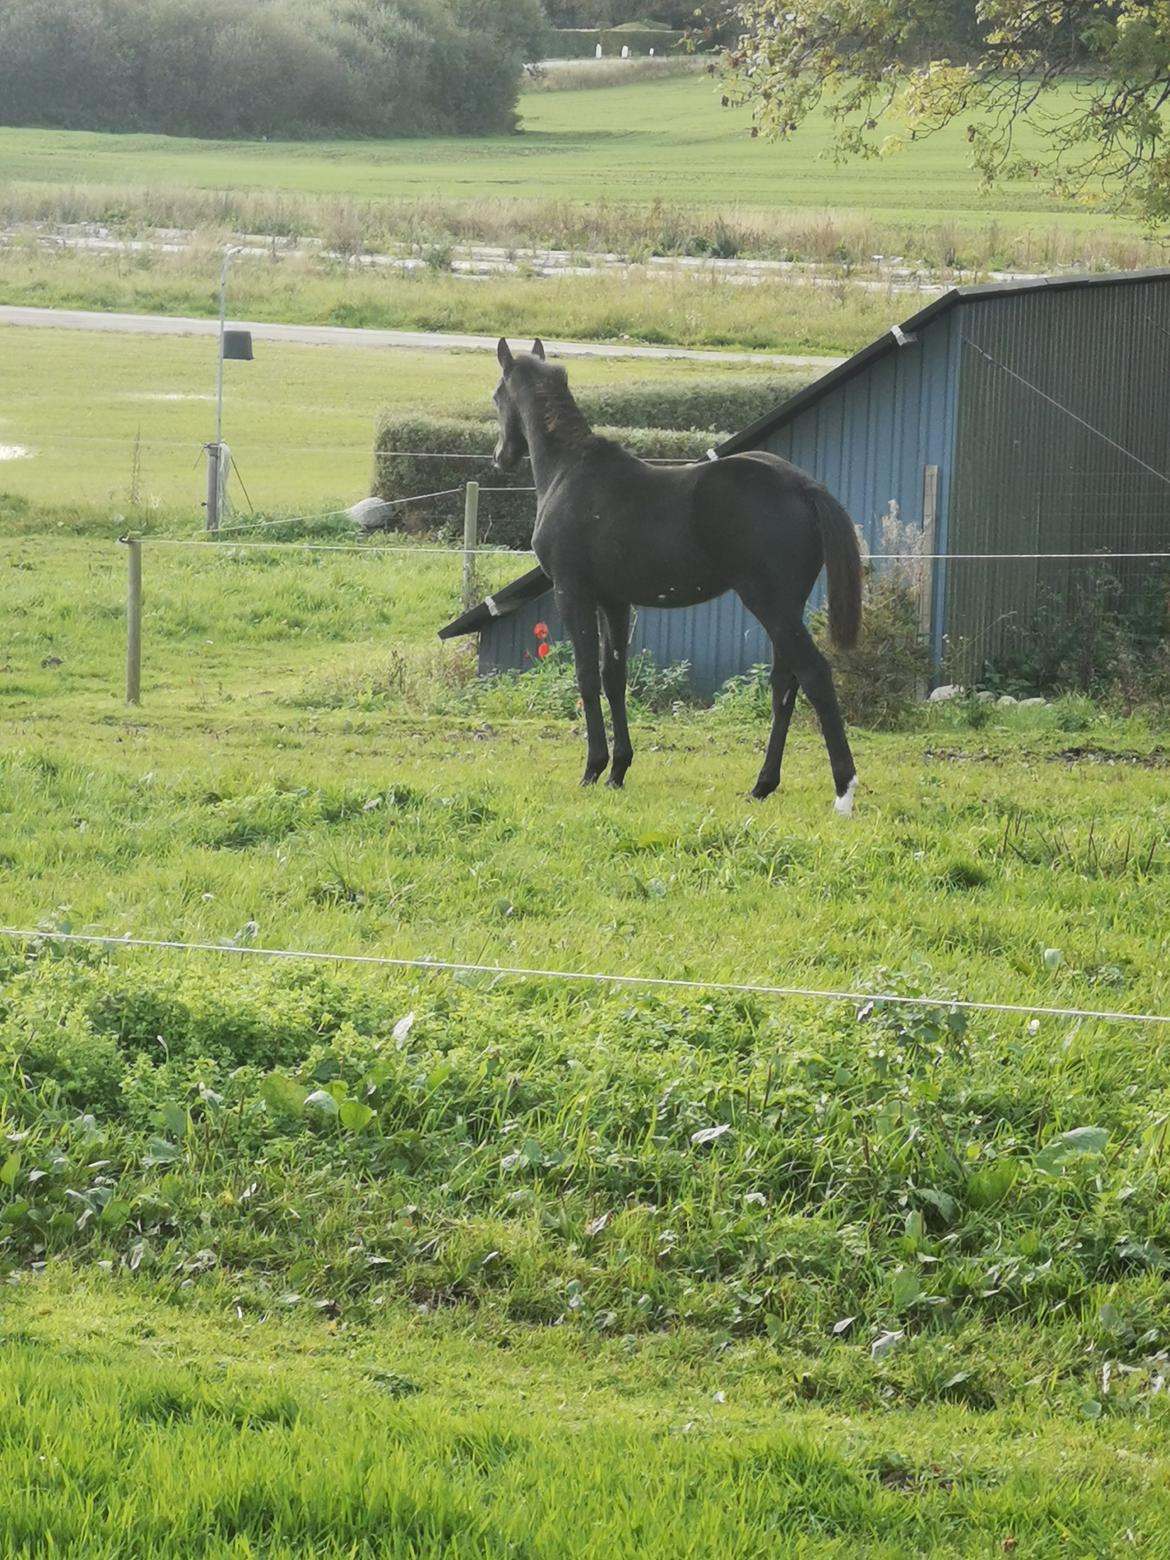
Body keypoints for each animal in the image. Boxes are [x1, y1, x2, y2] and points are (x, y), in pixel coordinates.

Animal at [489, 341, 867, 817]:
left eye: (496, 396)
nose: (499, 457)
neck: (568, 472)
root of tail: (803, 485)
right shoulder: (614, 601)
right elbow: (614, 677)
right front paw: (618, 770)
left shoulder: (572, 592)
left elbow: (586, 676)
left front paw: (593, 769)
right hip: (786, 607)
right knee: (785, 684)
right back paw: (762, 785)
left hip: (769, 604)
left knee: (814, 674)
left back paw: (843, 791)